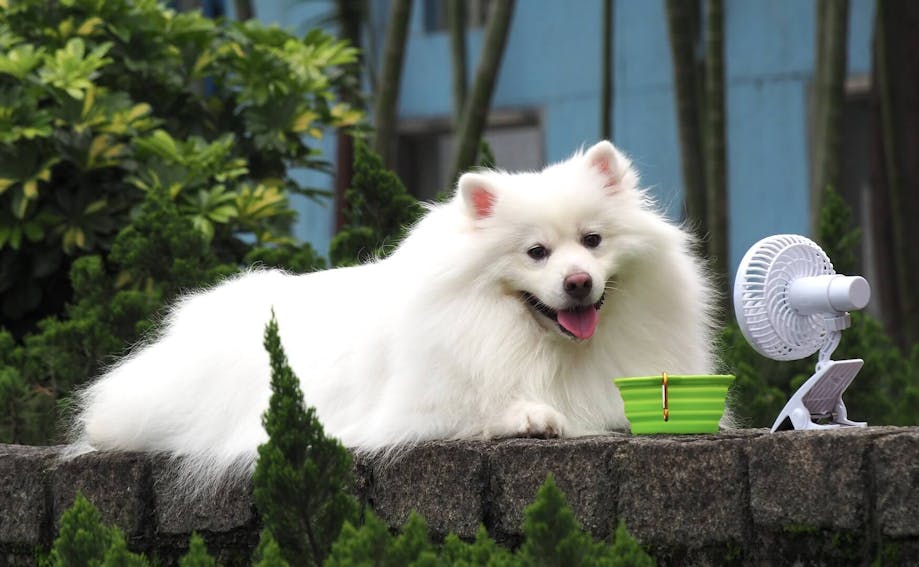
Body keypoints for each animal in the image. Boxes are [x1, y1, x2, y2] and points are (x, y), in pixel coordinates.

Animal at [73, 141, 720, 484]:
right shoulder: (423, 407)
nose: (579, 282)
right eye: (536, 252)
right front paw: (533, 415)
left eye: (592, 241)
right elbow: (487, 407)